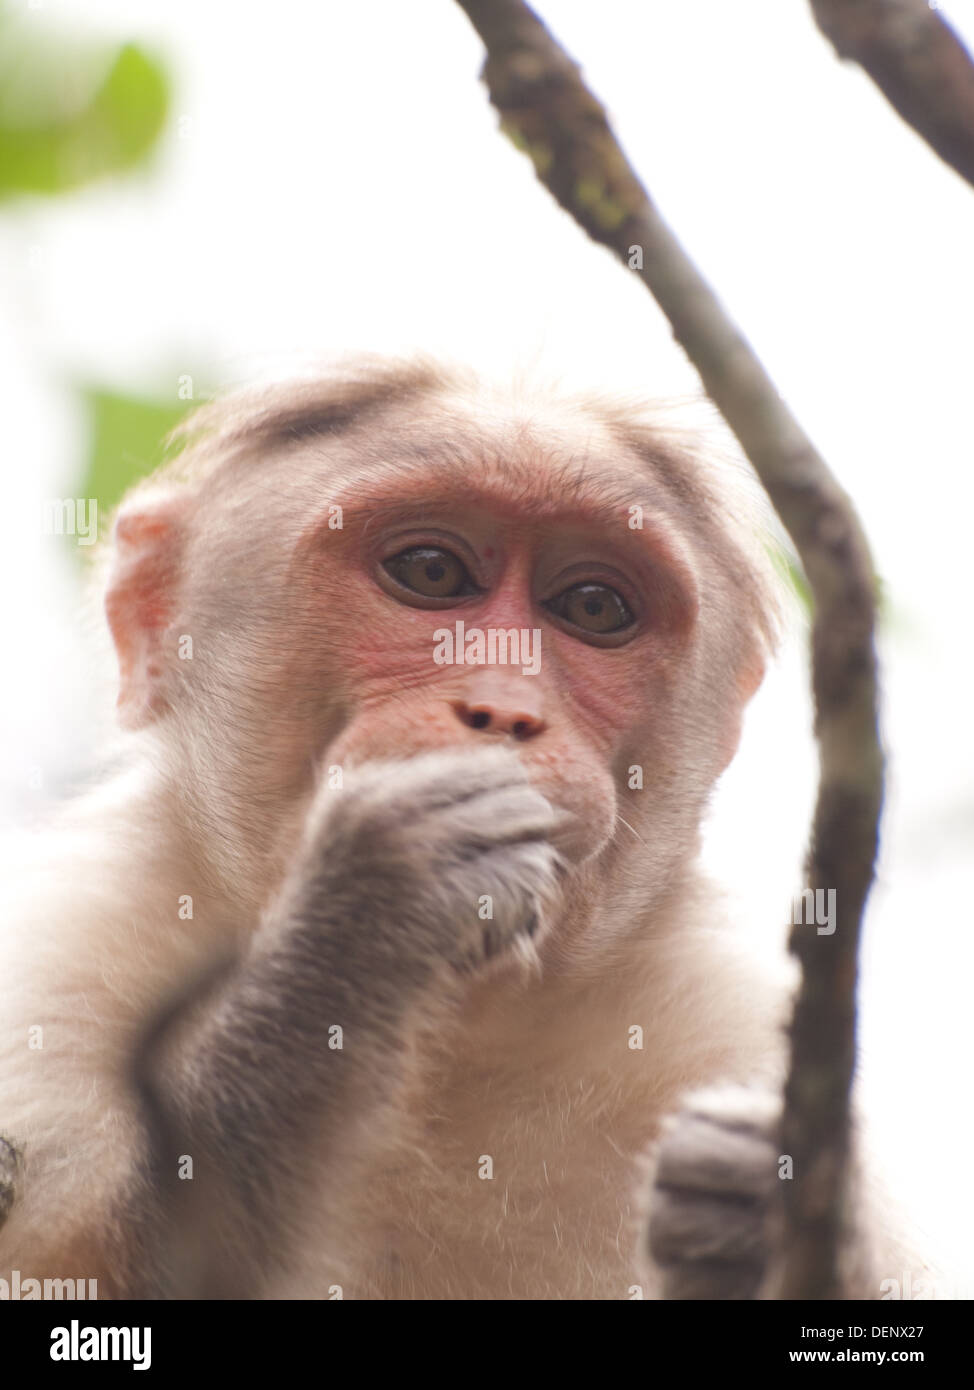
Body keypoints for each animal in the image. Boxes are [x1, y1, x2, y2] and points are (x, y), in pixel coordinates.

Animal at [0, 355, 928, 1289]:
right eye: (431, 573)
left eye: (593, 607)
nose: (505, 710)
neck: (448, 1029)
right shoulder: (63, 964)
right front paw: (368, 907)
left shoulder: (726, 1027)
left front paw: (755, 1220)